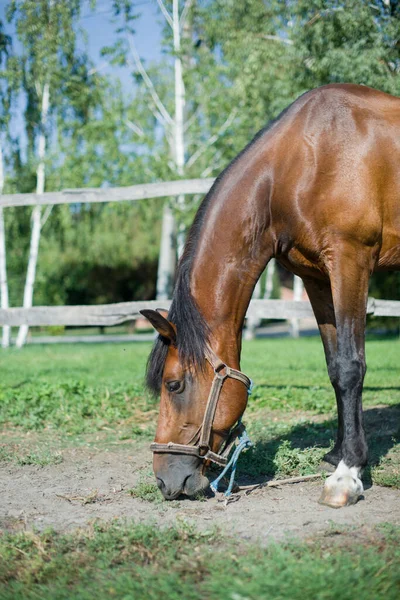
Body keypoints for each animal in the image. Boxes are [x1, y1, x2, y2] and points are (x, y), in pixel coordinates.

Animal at [141, 84, 400, 506]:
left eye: (173, 384)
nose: (166, 481)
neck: (301, 163)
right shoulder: (316, 277)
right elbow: (334, 367)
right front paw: (337, 453)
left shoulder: (350, 260)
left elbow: (350, 366)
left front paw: (348, 473)